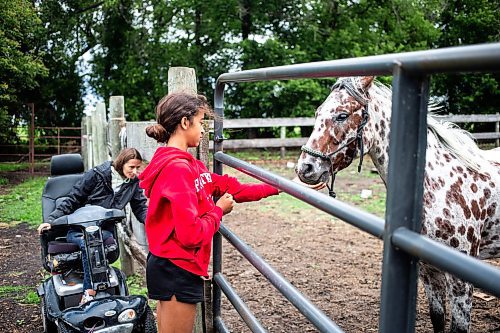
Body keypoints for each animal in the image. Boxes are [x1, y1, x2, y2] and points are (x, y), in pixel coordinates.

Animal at [294, 76, 500, 332]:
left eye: (342, 115)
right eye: (318, 112)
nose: (305, 168)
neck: (441, 182)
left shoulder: (461, 283)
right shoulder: (428, 271)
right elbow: (437, 319)